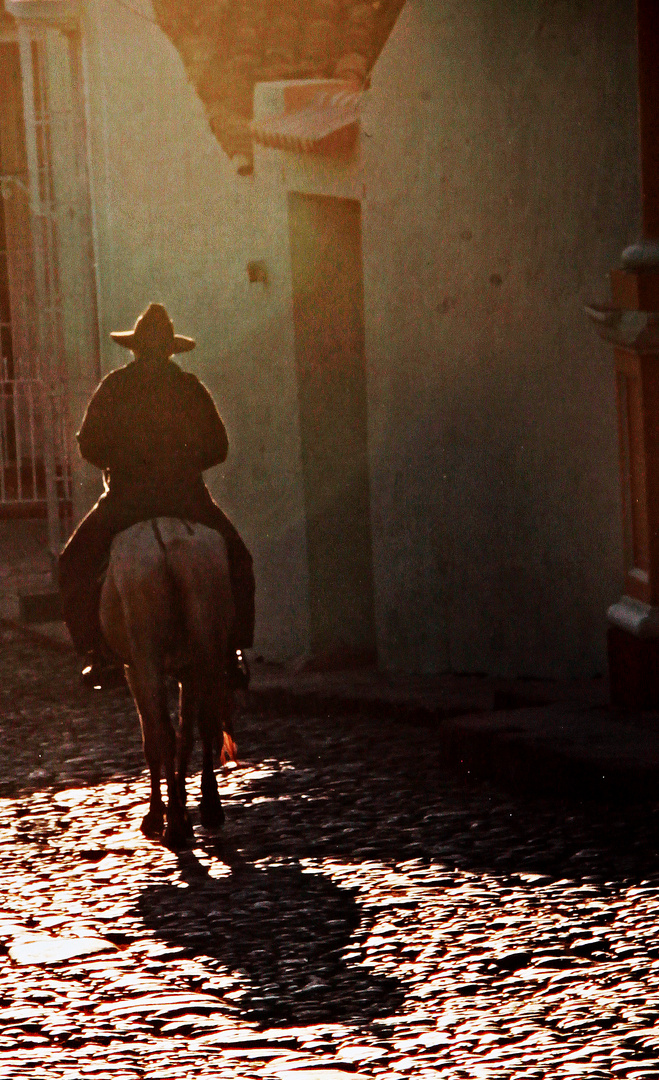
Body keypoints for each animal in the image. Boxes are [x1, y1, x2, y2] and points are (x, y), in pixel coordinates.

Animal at [98, 516, 237, 851]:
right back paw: (208, 808)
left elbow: (152, 740)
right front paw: (185, 803)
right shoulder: (187, 669)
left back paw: (172, 825)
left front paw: (157, 813)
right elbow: (187, 733)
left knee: (164, 735)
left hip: (147, 659)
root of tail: (170, 542)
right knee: (203, 727)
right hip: (206, 651)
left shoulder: (133, 669)